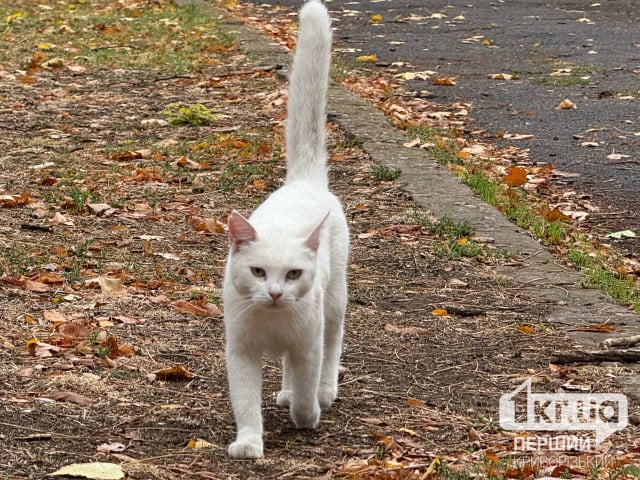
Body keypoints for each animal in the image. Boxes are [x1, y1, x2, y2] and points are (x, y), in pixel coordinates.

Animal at [221, 0, 350, 460]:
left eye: (293, 273)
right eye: (258, 272)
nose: (276, 293)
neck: (273, 323)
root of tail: (304, 181)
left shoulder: (307, 342)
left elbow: (309, 381)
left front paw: (307, 415)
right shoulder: (240, 351)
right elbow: (245, 402)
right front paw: (249, 442)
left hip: (334, 301)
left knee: (332, 347)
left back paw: (322, 392)